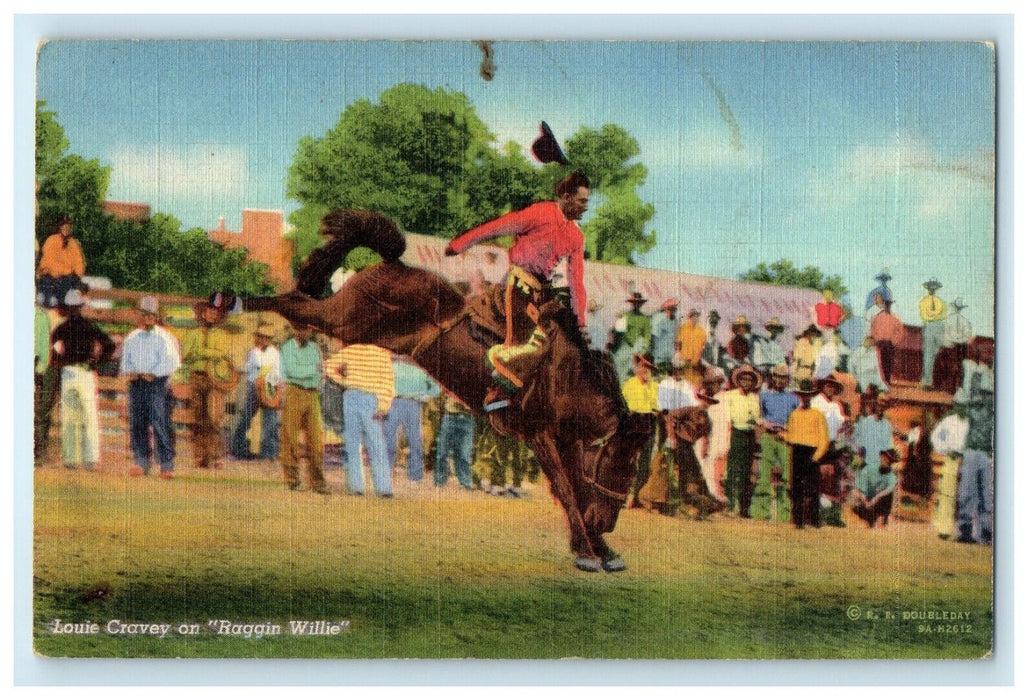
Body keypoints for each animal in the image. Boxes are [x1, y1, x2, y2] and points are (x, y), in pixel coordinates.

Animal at [240, 210, 654, 571]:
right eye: (620, 462)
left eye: (634, 465)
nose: (607, 523)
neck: (565, 378)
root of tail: (394, 265)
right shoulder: (541, 436)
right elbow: (569, 491)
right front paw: (588, 551)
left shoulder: (567, 442)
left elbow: (578, 491)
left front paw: (602, 550)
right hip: (341, 318)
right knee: (292, 302)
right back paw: (234, 301)